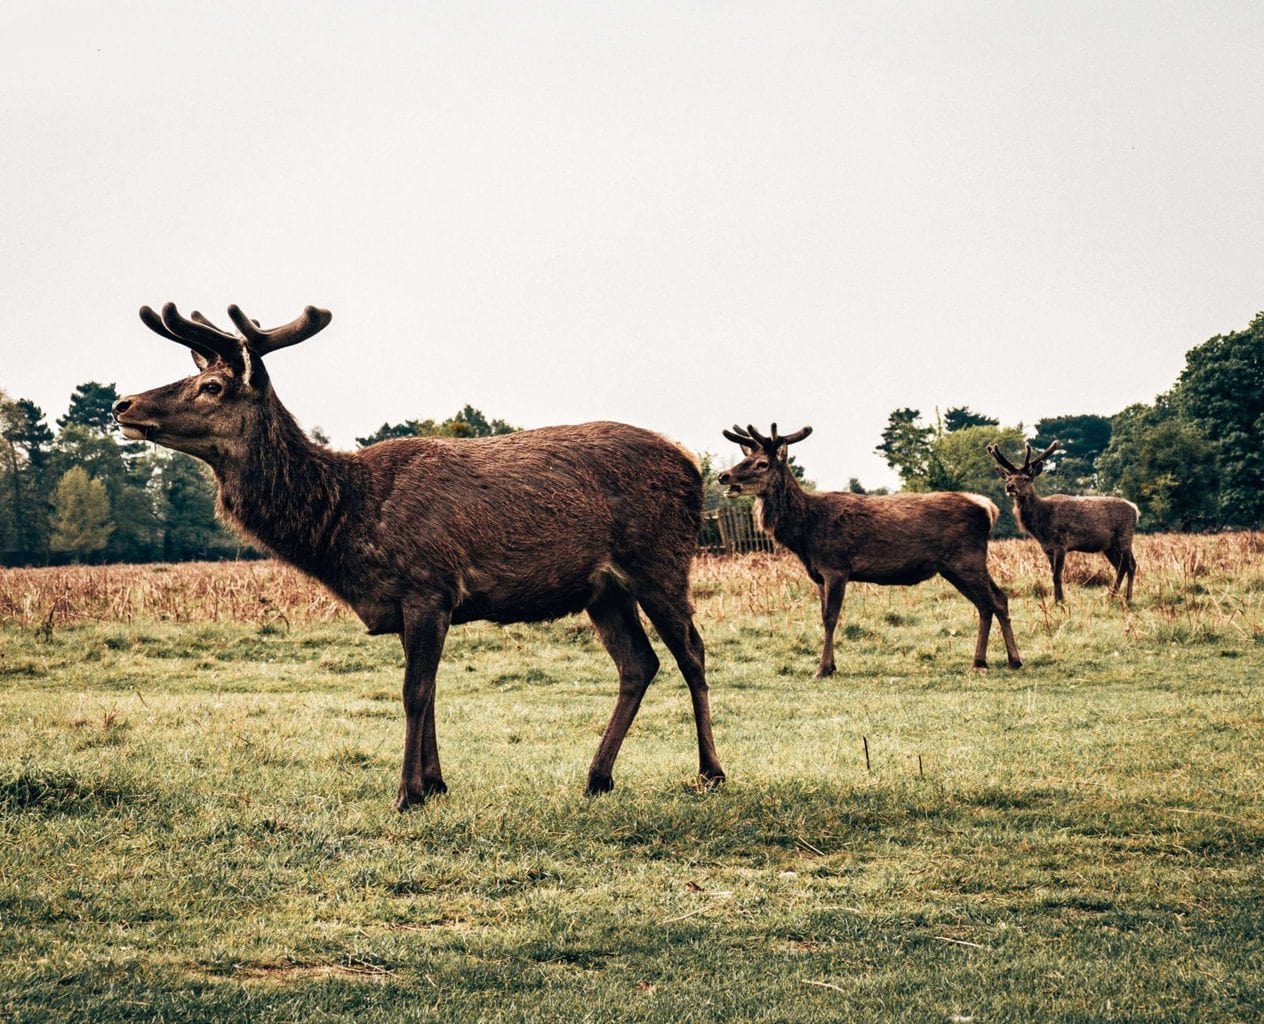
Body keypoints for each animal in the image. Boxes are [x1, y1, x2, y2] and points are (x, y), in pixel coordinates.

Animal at [113, 300, 728, 804]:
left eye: (214, 386)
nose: (123, 403)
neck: (344, 523)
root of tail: (691, 463)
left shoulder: (429, 587)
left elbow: (414, 692)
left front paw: (406, 792)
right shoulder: (411, 602)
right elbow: (428, 692)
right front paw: (435, 784)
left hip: (662, 561)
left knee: (692, 654)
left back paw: (710, 772)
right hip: (602, 590)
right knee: (638, 663)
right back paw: (598, 777)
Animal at [717, 419, 1021, 672]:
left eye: (762, 464)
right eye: (746, 457)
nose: (724, 476)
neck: (805, 534)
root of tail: (988, 508)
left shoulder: (836, 567)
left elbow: (830, 617)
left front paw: (822, 669)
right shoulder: (818, 575)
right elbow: (823, 616)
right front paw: (832, 665)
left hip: (967, 559)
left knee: (996, 600)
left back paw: (1014, 660)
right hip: (954, 567)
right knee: (988, 603)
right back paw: (981, 660)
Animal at [980, 437, 1142, 599]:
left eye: (1026, 478)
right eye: (1008, 478)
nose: (1010, 486)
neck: (1040, 524)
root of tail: (1135, 508)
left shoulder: (1061, 544)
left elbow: (1057, 576)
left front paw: (1059, 600)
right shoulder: (1047, 549)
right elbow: (1054, 575)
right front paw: (1059, 599)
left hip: (1125, 537)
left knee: (1131, 565)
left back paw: (1128, 598)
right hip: (1109, 546)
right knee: (1120, 566)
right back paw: (1112, 596)